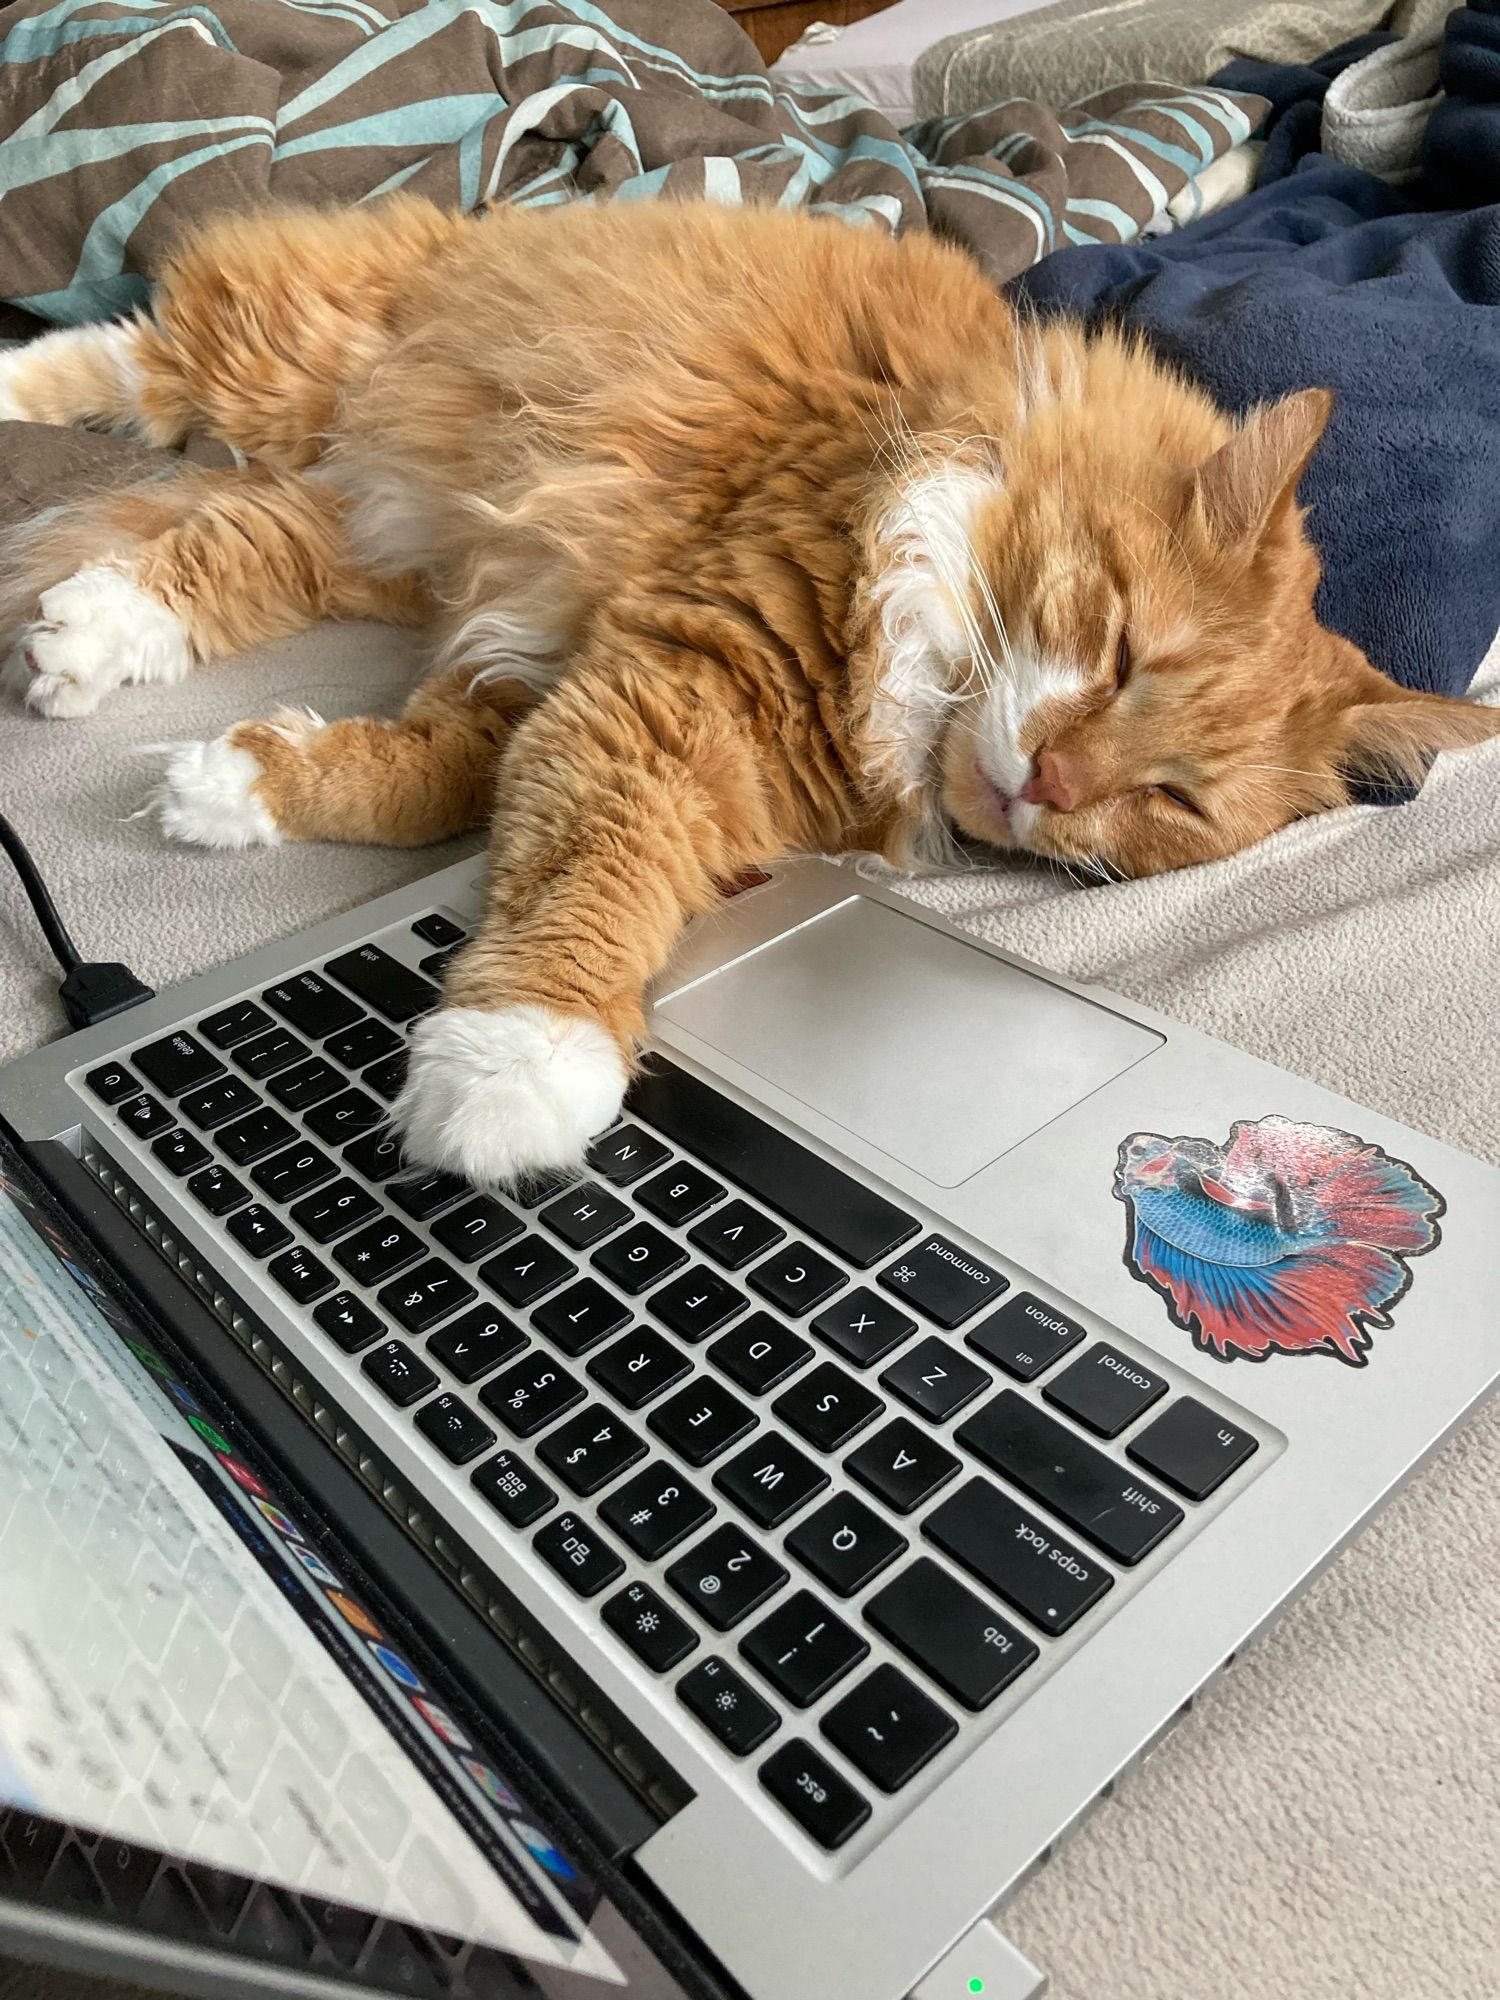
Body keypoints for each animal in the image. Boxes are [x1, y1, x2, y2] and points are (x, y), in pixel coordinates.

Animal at [2, 199, 1500, 1184]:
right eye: (1126, 651)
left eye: (1173, 802)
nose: (1051, 784)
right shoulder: (675, 679)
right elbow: (590, 874)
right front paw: (511, 1068)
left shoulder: (540, 677)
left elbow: (422, 784)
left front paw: (236, 786)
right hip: (306, 367)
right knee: (139, 355)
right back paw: (26, 402)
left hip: (375, 527)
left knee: (233, 545)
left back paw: (91, 636)